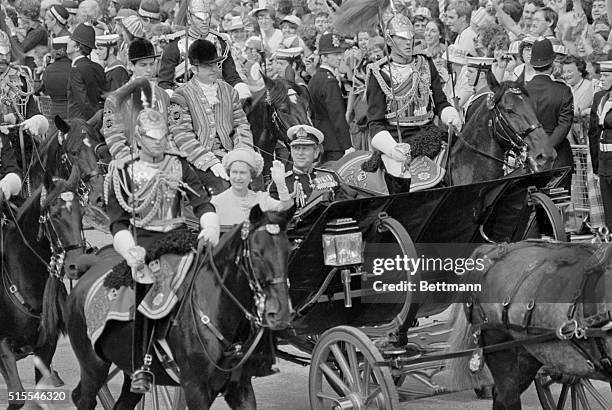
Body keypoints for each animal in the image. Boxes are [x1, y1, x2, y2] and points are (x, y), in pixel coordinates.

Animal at [0, 169, 85, 406]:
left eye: (82, 213)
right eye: (54, 215)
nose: (76, 265)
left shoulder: (45, 347)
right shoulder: (3, 347)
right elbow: (17, 397)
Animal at [67, 207, 296, 408]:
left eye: (288, 250)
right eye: (256, 253)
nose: (281, 313)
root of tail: (91, 268)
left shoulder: (240, 388)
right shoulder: (195, 389)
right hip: (93, 367)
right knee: (82, 398)